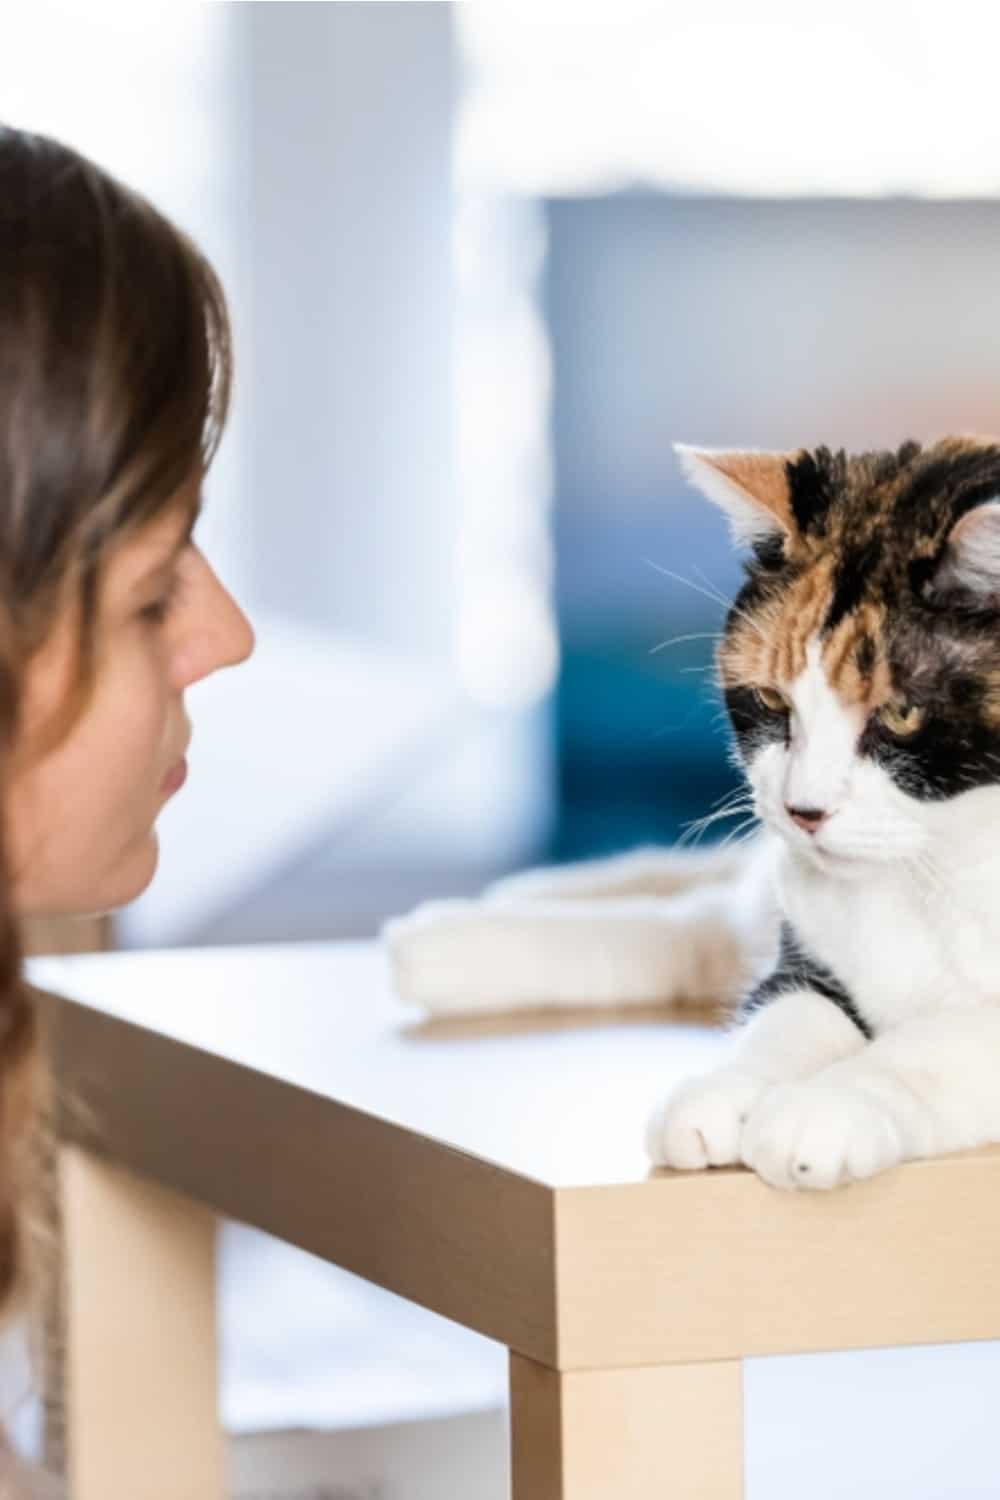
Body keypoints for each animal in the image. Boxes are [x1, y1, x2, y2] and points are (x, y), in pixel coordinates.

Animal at [386, 438, 1000, 1194]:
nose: (803, 811)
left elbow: (937, 1049)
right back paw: (459, 936)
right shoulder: (808, 953)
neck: (933, 873)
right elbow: (786, 1015)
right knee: (697, 920)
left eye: (902, 713)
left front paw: (827, 1106)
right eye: (772, 701)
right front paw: (722, 1090)